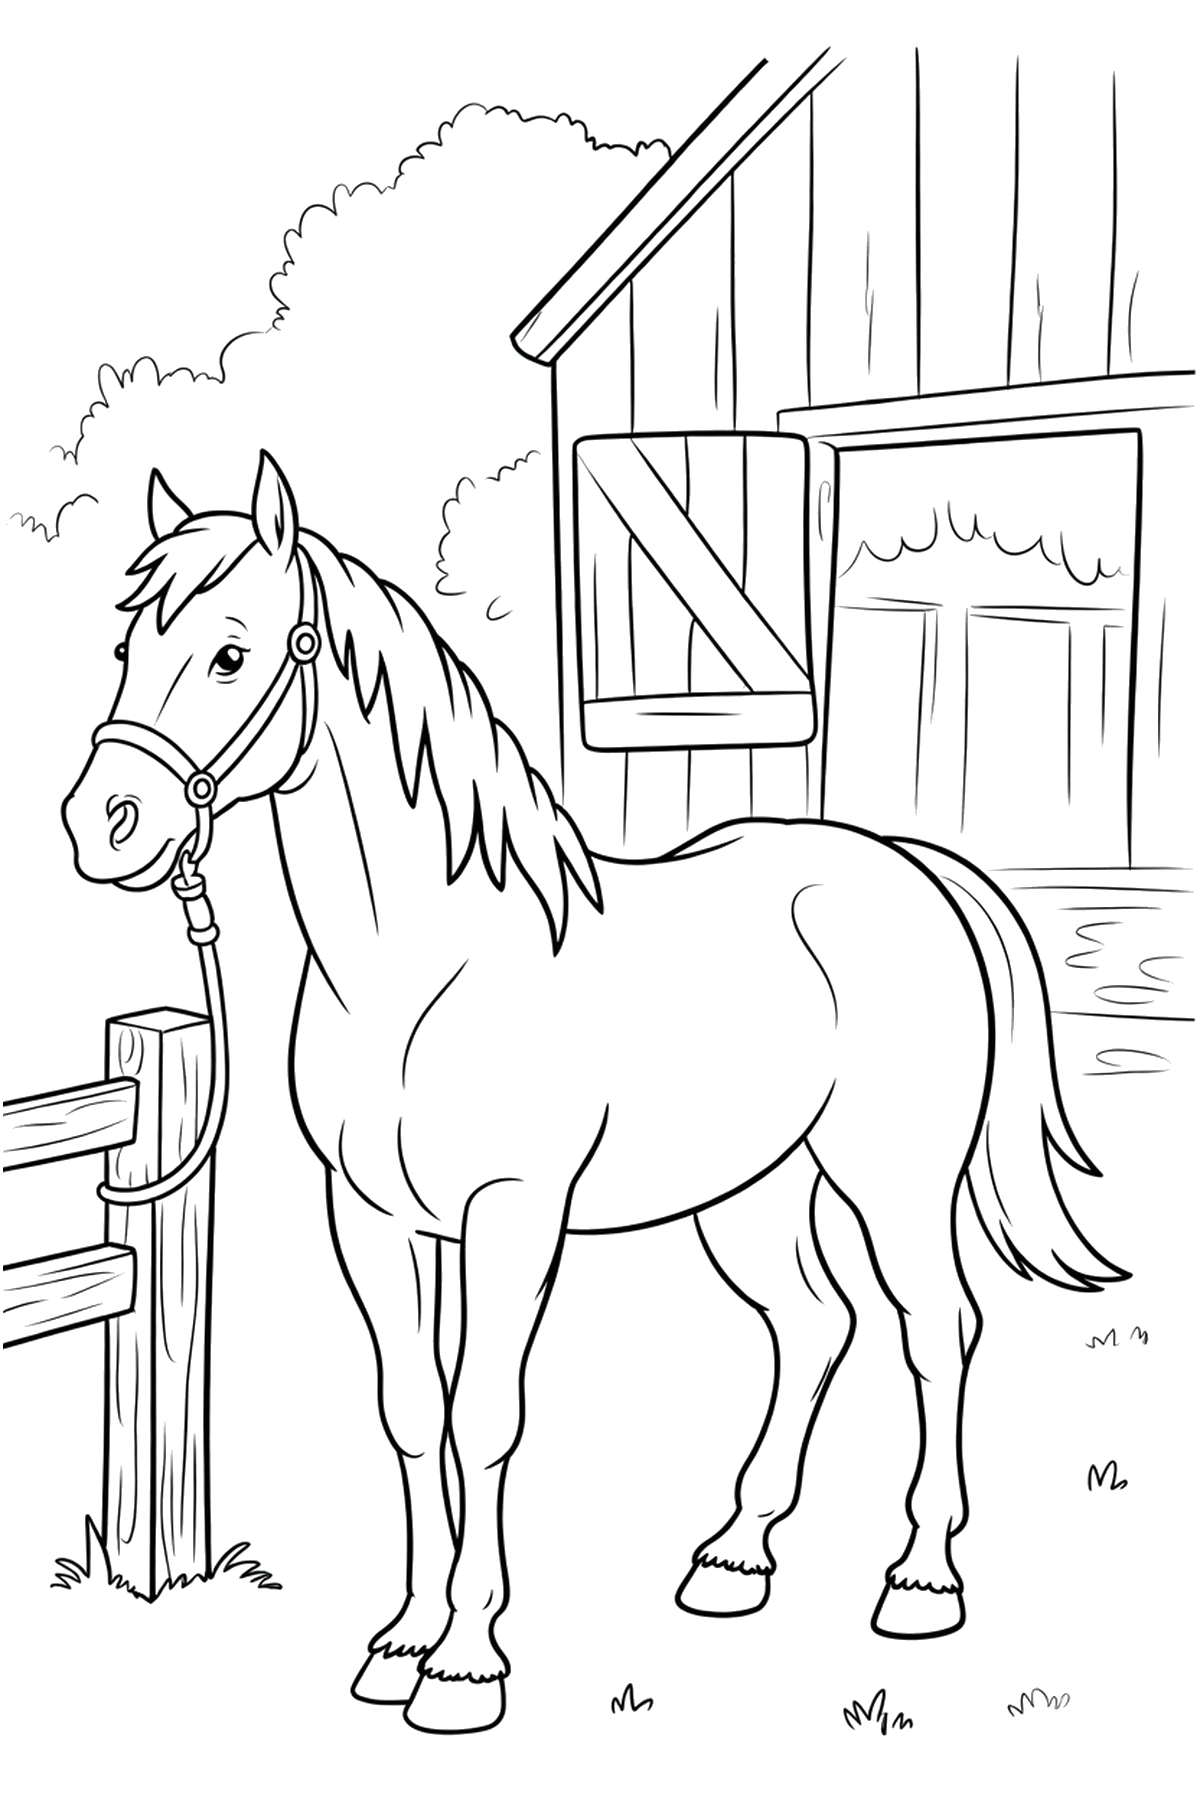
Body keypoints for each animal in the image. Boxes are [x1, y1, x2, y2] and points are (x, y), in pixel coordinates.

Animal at [62, 452, 1128, 1733]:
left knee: (936, 1328)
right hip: (750, 1193)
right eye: (127, 647)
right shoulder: (370, 1218)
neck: (424, 964)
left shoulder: (511, 1217)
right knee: (814, 1325)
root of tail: (907, 866)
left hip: (894, 1181)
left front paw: (466, 1665)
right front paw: (401, 1643)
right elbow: (412, 1411)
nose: (101, 825)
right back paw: (734, 1558)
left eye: (233, 653)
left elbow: (485, 1414)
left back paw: (920, 1580)